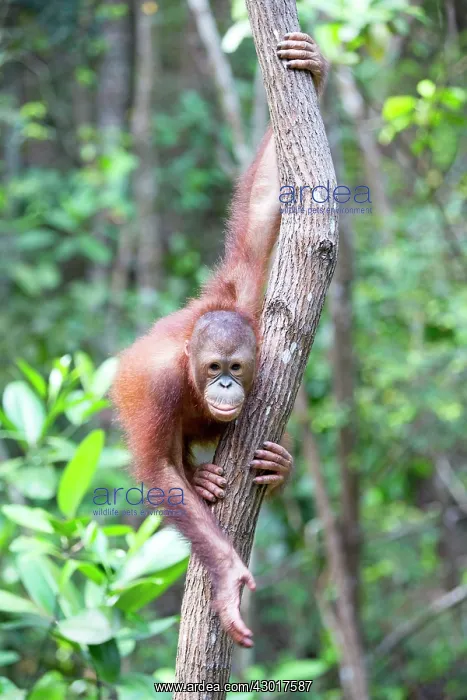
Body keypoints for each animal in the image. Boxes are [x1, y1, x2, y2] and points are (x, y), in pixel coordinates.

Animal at [112, 33, 328, 648]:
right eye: (214, 368)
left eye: (235, 365)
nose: (228, 384)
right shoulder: (158, 384)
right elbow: (159, 473)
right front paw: (229, 576)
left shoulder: (242, 298)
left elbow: (262, 211)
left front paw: (313, 66)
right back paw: (204, 477)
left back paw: (275, 466)